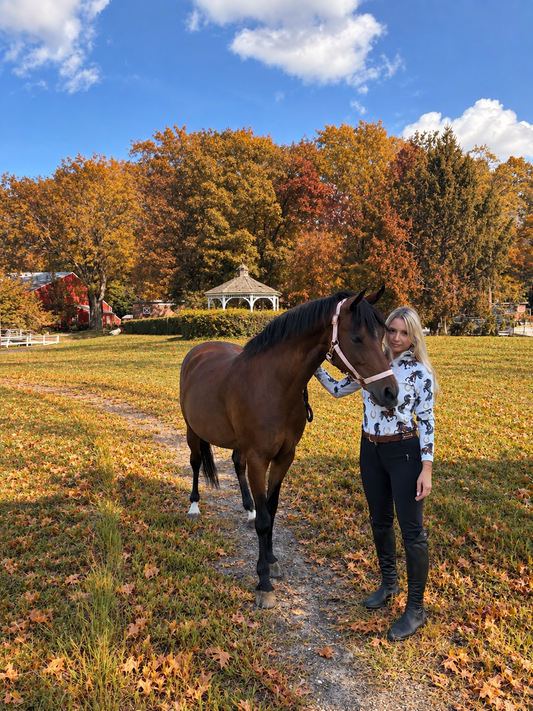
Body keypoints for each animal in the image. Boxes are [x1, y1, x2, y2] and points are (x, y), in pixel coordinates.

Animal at [179, 288, 399, 608]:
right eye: (358, 338)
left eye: (383, 334)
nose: (390, 392)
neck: (274, 384)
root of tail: (199, 351)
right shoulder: (259, 458)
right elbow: (264, 521)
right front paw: (263, 583)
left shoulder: (284, 457)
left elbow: (271, 510)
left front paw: (271, 559)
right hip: (193, 431)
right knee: (196, 462)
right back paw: (194, 506)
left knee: (236, 464)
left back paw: (248, 508)